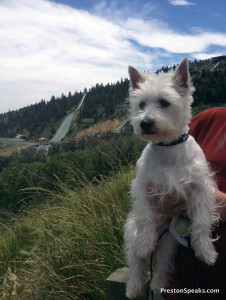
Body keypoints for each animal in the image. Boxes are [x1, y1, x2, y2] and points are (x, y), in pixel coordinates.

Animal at [124, 57, 218, 298]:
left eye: (164, 103)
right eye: (141, 105)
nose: (145, 123)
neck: (167, 147)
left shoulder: (200, 188)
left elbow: (202, 220)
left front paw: (206, 251)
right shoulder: (143, 187)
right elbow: (146, 217)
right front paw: (145, 243)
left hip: (170, 241)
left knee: (163, 262)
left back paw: (158, 283)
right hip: (131, 230)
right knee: (137, 261)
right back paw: (135, 285)